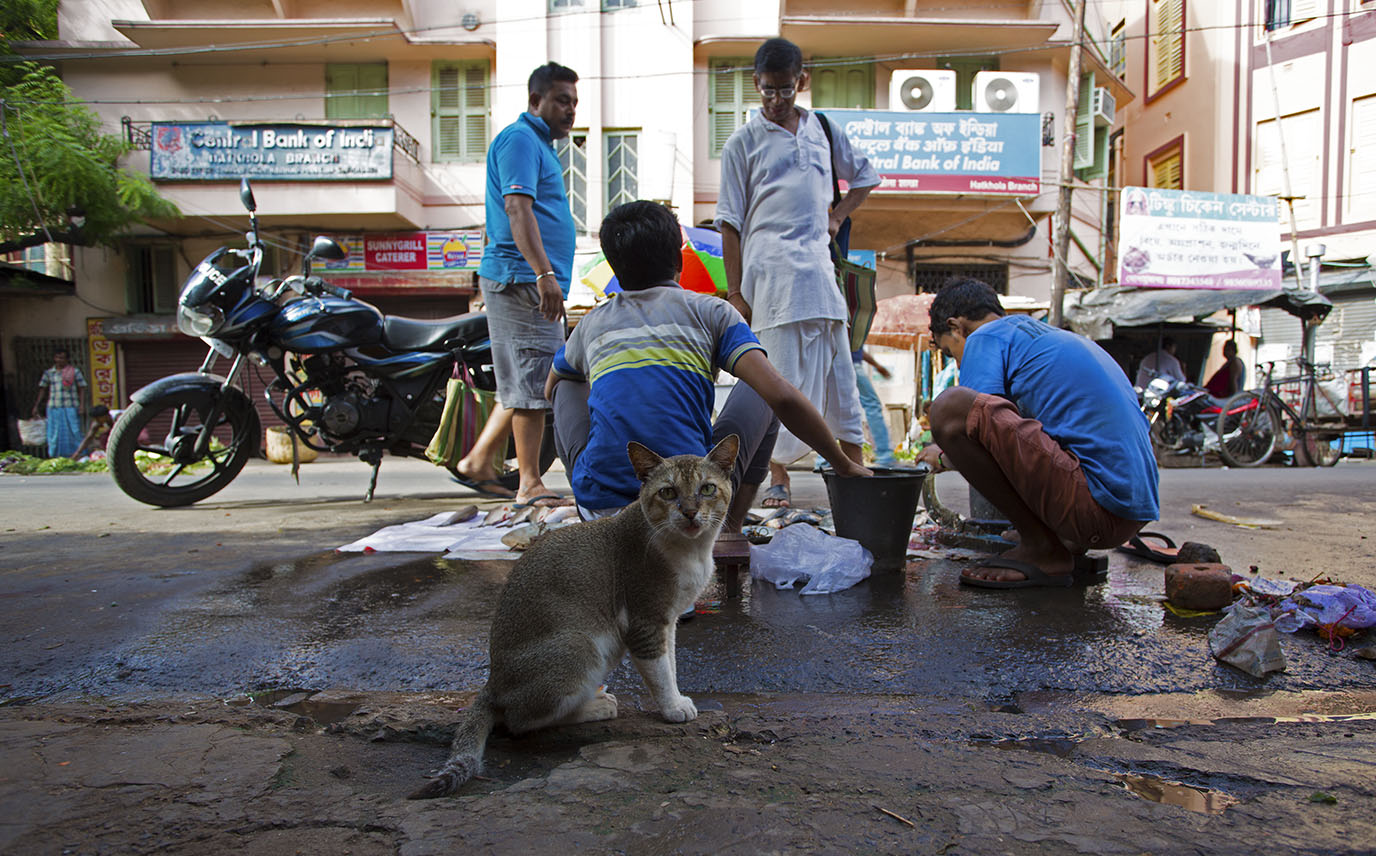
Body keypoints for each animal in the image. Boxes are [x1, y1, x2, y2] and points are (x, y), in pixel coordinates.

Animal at [404, 440, 737, 803]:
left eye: (707, 489)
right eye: (668, 492)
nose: (690, 512)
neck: (690, 550)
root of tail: (492, 683)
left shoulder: (668, 621)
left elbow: (672, 663)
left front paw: (678, 697)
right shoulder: (645, 620)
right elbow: (660, 672)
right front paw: (673, 707)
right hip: (580, 647)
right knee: (520, 721)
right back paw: (595, 707)